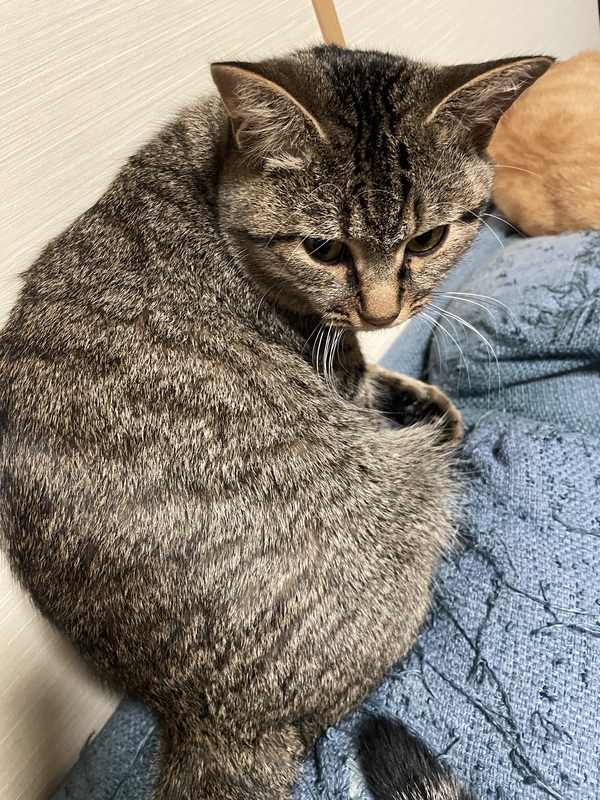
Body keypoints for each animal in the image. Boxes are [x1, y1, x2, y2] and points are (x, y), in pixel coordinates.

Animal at [0, 46, 551, 800]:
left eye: (429, 239)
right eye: (324, 250)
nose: (383, 312)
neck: (207, 160)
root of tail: (212, 721)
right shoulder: (339, 369)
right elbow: (373, 384)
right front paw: (432, 410)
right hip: (412, 502)